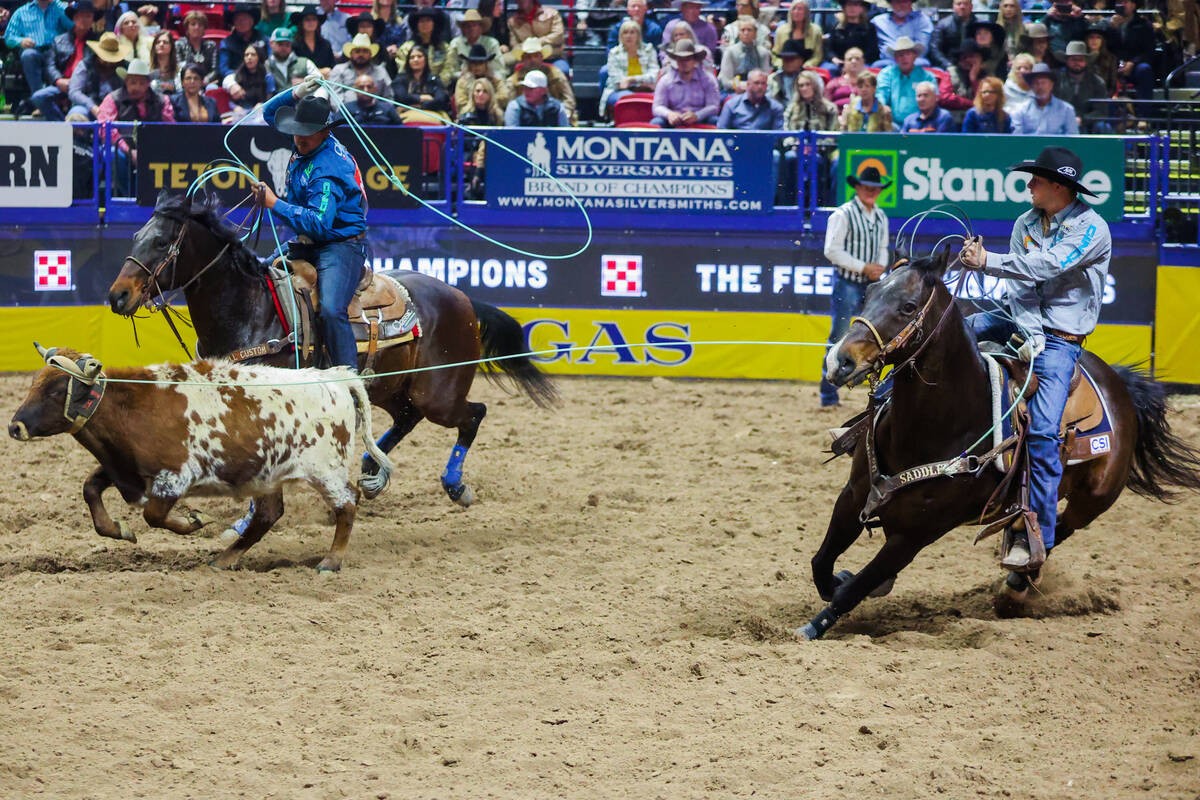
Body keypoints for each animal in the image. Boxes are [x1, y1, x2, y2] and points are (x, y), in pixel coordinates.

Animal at [105, 190, 554, 510]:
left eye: (160, 242)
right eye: (135, 237)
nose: (117, 296)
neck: (252, 310)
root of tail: (462, 298)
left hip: (438, 394)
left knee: (473, 415)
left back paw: (455, 485)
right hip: (392, 387)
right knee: (406, 418)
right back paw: (374, 471)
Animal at [801, 248, 1200, 638]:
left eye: (908, 307)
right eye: (869, 294)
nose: (839, 360)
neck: (938, 424)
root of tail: (1118, 385)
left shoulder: (917, 534)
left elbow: (854, 589)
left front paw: (813, 626)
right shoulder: (855, 494)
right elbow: (822, 564)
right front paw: (845, 579)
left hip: (1094, 501)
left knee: (1059, 530)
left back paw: (1016, 582)